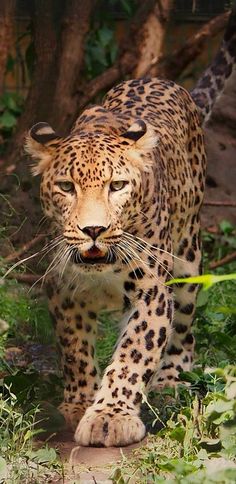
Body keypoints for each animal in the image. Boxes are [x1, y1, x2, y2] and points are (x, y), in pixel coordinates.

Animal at [25, 8, 236, 446]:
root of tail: (166, 80)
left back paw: (172, 381)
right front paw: (78, 403)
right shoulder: (61, 288)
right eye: (66, 187)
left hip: (187, 259)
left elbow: (133, 353)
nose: (93, 230)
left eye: (117, 186)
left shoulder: (151, 291)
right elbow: (74, 349)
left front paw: (111, 416)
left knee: (185, 327)